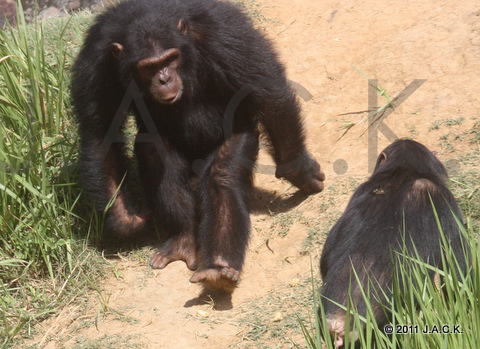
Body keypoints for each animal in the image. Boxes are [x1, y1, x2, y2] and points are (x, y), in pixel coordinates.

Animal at [71, 0, 326, 294]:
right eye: (148, 67)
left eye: (170, 59)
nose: (164, 79)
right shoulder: (97, 62)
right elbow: (100, 131)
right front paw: (128, 221)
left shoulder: (226, 35)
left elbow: (267, 92)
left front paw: (300, 172)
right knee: (156, 156)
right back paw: (184, 238)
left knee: (222, 175)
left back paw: (218, 268)